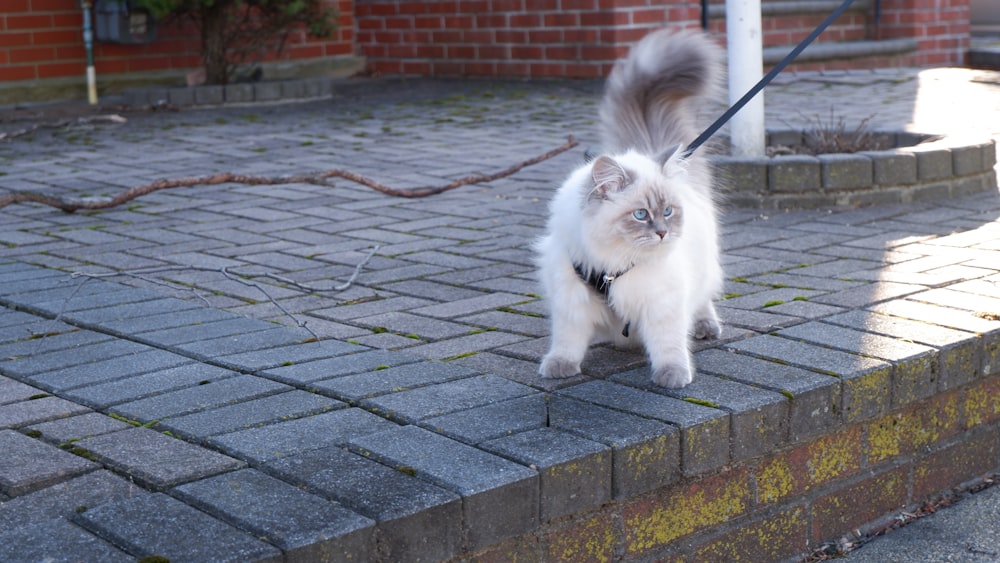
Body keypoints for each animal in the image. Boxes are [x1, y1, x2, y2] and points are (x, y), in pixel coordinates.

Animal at [536, 28, 724, 390]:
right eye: (641, 215)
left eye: (668, 212)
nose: (663, 233)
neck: (614, 265)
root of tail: (647, 150)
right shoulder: (571, 302)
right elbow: (566, 341)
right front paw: (559, 367)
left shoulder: (663, 302)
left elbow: (669, 346)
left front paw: (672, 376)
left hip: (703, 268)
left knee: (703, 301)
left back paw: (705, 328)